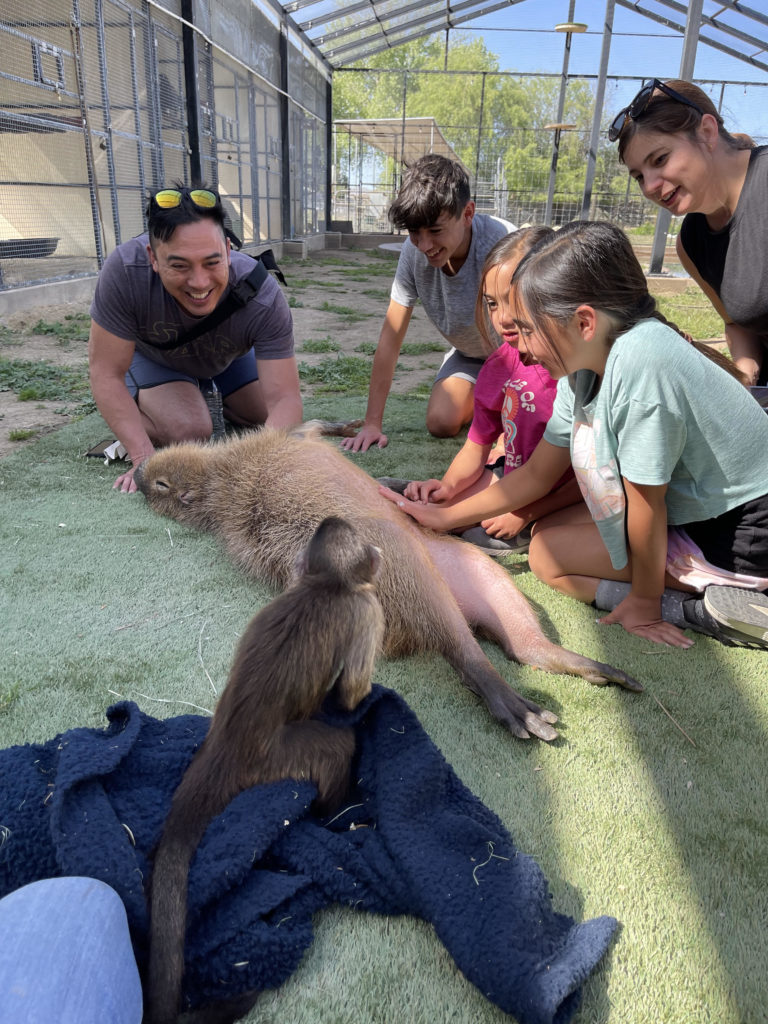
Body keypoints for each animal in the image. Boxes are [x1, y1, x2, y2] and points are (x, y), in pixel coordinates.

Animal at [134, 419, 643, 741]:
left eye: (160, 485)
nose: (138, 472)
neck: (223, 478)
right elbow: (306, 426)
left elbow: (313, 428)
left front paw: (361, 442)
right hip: (411, 569)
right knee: (463, 648)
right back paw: (523, 712)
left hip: (474, 573)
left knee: (522, 644)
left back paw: (603, 672)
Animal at [145, 520, 385, 1024]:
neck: (321, 586)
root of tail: (226, 749)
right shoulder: (365, 608)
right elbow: (352, 690)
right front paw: (358, 700)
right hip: (278, 759)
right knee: (336, 748)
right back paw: (334, 816)